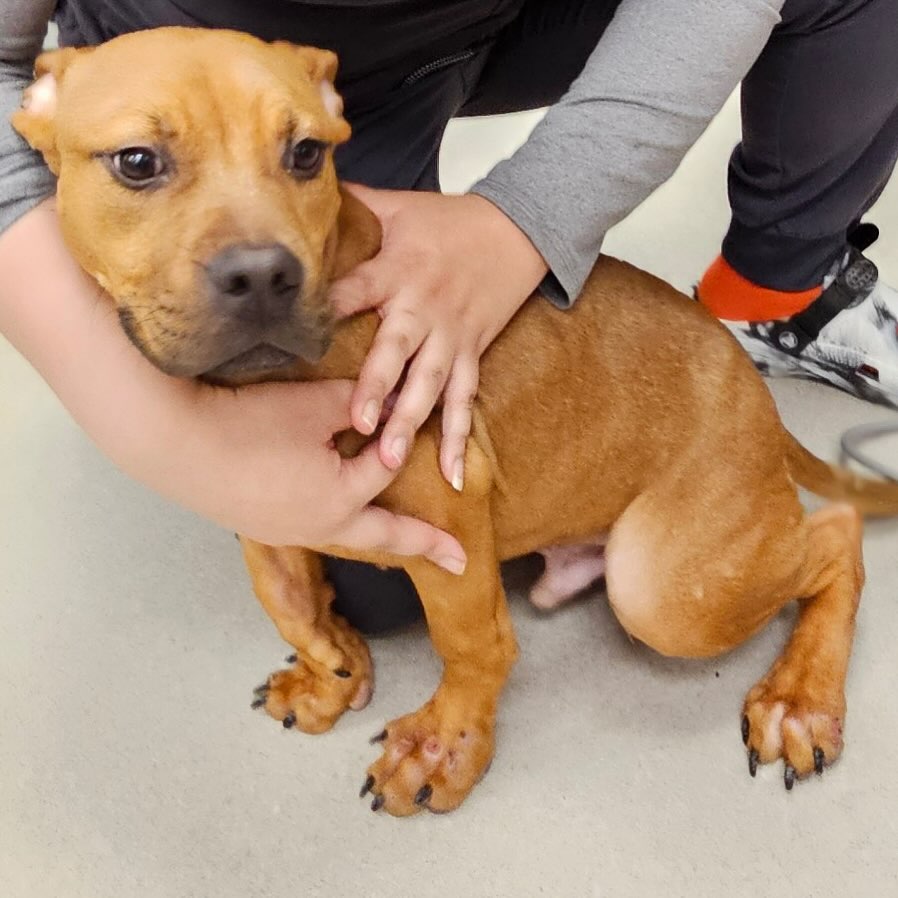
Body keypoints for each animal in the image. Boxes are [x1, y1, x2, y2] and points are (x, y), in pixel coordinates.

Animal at [17, 28, 896, 816]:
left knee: (836, 539)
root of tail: (759, 402)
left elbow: (471, 645)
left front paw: (443, 747)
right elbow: (285, 593)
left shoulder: (449, 507)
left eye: (306, 154)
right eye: (137, 162)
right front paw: (330, 666)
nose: (264, 276)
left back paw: (798, 700)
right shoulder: (257, 497)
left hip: (665, 585)